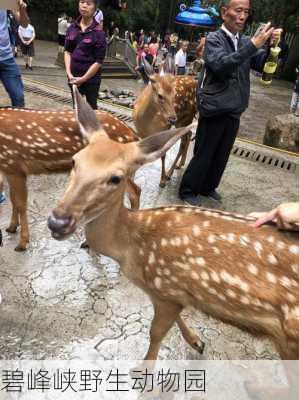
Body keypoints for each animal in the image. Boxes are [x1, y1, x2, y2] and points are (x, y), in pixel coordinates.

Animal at [0, 108, 141, 252]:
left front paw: (22, 243)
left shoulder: (14, 165)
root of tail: (132, 133)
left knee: (135, 192)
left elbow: (21, 204)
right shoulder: (7, 168)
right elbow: (13, 199)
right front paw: (11, 227)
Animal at [49, 90, 299, 400]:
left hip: (291, 339)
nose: (58, 222)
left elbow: (155, 333)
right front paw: (196, 341)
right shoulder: (173, 293)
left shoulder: (166, 286)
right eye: (74, 161)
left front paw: (143, 376)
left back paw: (257, 387)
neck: (130, 249)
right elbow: (176, 319)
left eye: (116, 177)